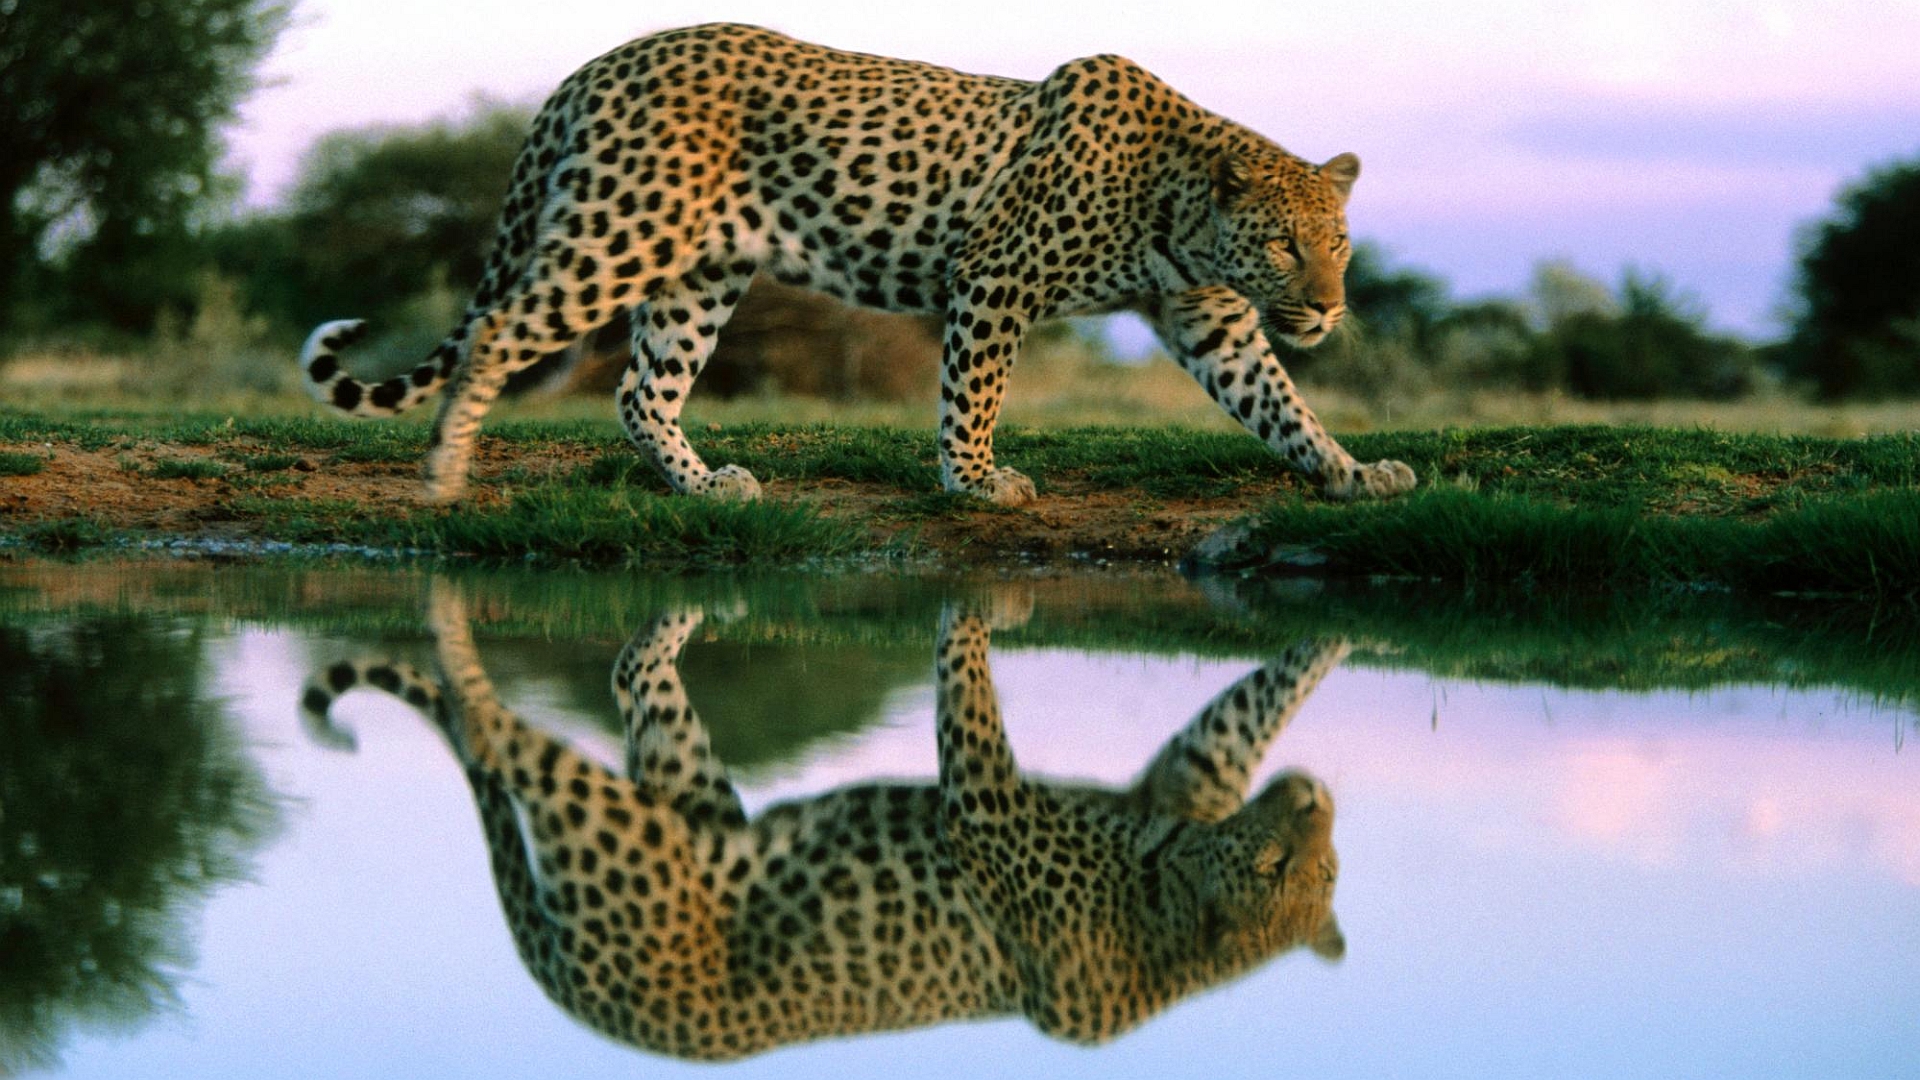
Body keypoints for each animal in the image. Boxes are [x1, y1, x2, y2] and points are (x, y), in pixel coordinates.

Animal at [298, 22, 1416, 507]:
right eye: (1282, 243)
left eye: (1340, 246)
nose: (1327, 310)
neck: (1176, 204)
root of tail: (596, 64)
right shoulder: (995, 278)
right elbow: (973, 393)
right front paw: (974, 481)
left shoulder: (1209, 319)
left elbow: (1279, 402)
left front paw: (1351, 471)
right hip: (620, 235)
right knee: (496, 330)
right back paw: (443, 473)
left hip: (699, 274)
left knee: (639, 389)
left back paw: (704, 486)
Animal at [301, 582, 1347, 1060]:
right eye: (1273, 868)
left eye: (1325, 872)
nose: (1317, 799)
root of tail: (588, 1005)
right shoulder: (991, 804)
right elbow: (968, 690)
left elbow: (1240, 712)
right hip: (620, 828)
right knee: (494, 729)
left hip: (661, 805)